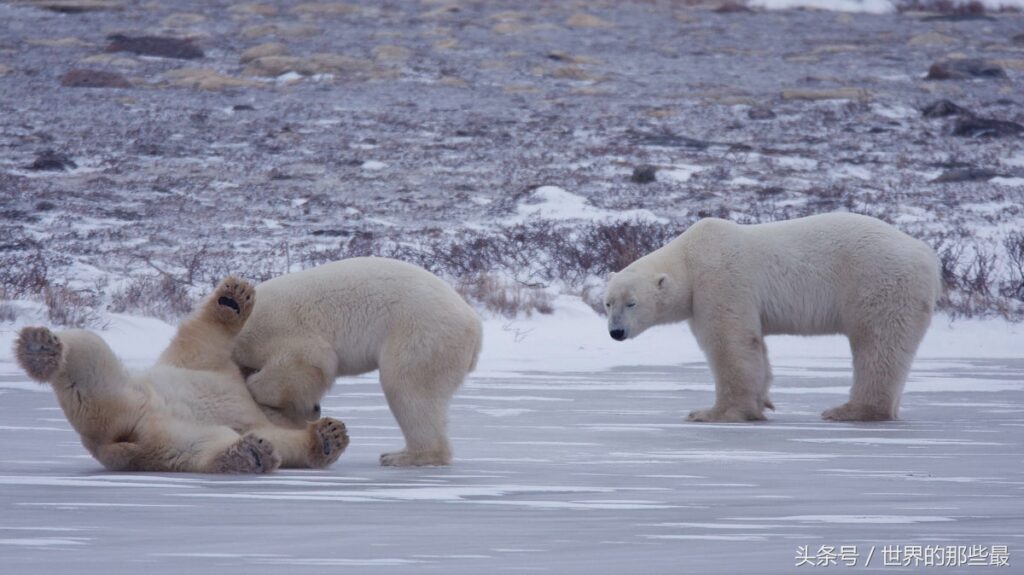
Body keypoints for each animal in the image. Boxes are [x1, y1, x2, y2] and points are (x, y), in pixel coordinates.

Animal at [14, 276, 350, 470]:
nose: (317, 407)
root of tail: (119, 439)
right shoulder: (206, 365)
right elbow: (206, 335)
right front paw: (235, 297)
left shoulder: (252, 414)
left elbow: (285, 442)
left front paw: (329, 436)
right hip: (124, 394)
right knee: (87, 347)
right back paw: (39, 348)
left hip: (168, 438)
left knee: (204, 448)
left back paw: (250, 454)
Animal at [234, 257, 481, 468]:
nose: (316, 408)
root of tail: (474, 324)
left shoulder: (280, 328)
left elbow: (308, 360)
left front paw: (257, 388)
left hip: (422, 333)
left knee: (407, 388)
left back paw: (403, 456)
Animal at [602, 210, 937, 421]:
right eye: (607, 303)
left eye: (631, 303)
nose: (615, 332)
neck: (689, 257)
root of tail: (926, 255)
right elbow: (755, 347)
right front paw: (760, 404)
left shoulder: (721, 280)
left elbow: (731, 342)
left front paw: (713, 413)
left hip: (878, 281)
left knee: (878, 343)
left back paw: (849, 410)